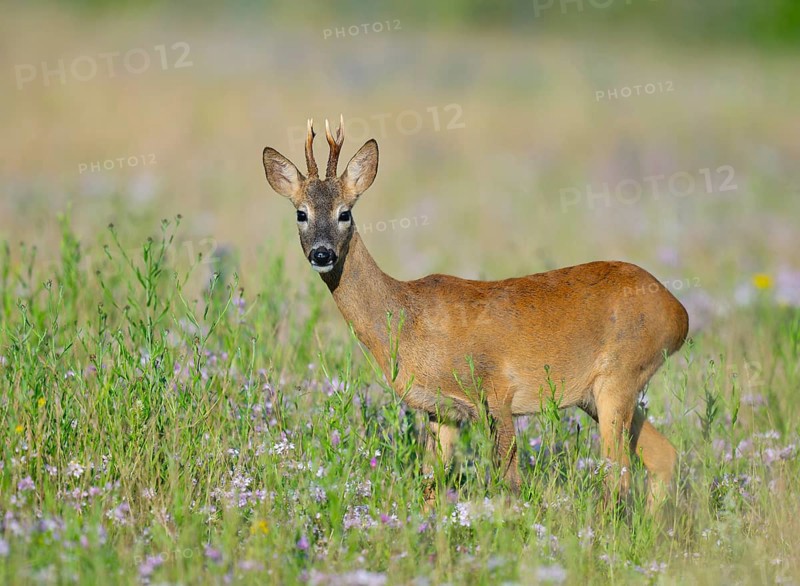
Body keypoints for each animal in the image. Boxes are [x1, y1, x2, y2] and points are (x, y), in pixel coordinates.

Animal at [262, 117, 689, 510]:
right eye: (301, 213)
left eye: (345, 212)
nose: (322, 254)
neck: (407, 319)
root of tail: (679, 313)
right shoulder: (443, 411)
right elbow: (431, 485)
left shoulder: (497, 389)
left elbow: (510, 483)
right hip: (598, 393)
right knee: (663, 456)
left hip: (620, 376)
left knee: (618, 478)